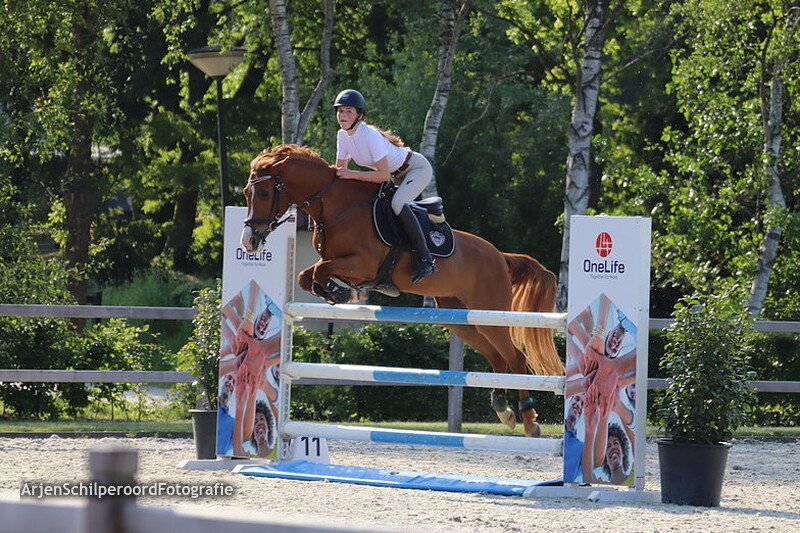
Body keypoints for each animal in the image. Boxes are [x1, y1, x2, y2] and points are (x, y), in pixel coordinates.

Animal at [240, 144, 564, 437]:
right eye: (246, 193)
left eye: (265, 193)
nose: (250, 242)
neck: (338, 207)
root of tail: (499, 255)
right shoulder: (338, 263)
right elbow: (306, 276)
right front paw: (339, 292)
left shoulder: (364, 264)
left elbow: (318, 272)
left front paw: (342, 292)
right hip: (460, 318)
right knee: (497, 358)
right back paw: (503, 410)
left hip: (489, 313)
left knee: (515, 358)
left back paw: (529, 420)